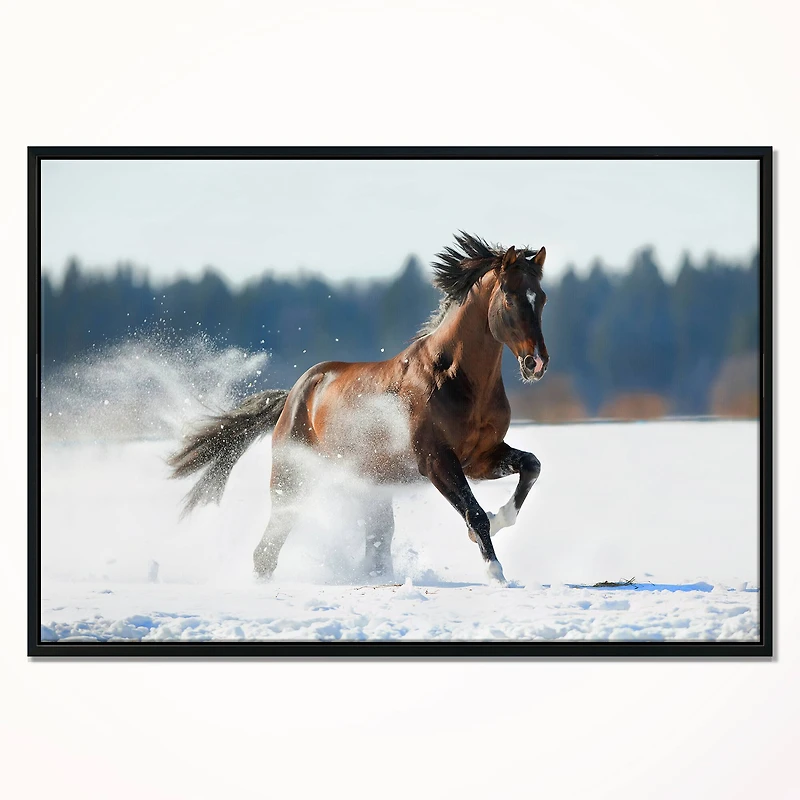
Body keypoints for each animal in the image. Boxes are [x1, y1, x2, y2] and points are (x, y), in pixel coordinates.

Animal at [168, 233, 549, 584]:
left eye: (541, 297)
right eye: (510, 297)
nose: (537, 363)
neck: (452, 377)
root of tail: (293, 396)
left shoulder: (480, 458)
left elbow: (531, 466)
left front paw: (500, 521)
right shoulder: (436, 461)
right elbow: (474, 513)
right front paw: (495, 572)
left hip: (370, 487)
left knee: (374, 544)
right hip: (293, 480)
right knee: (268, 548)